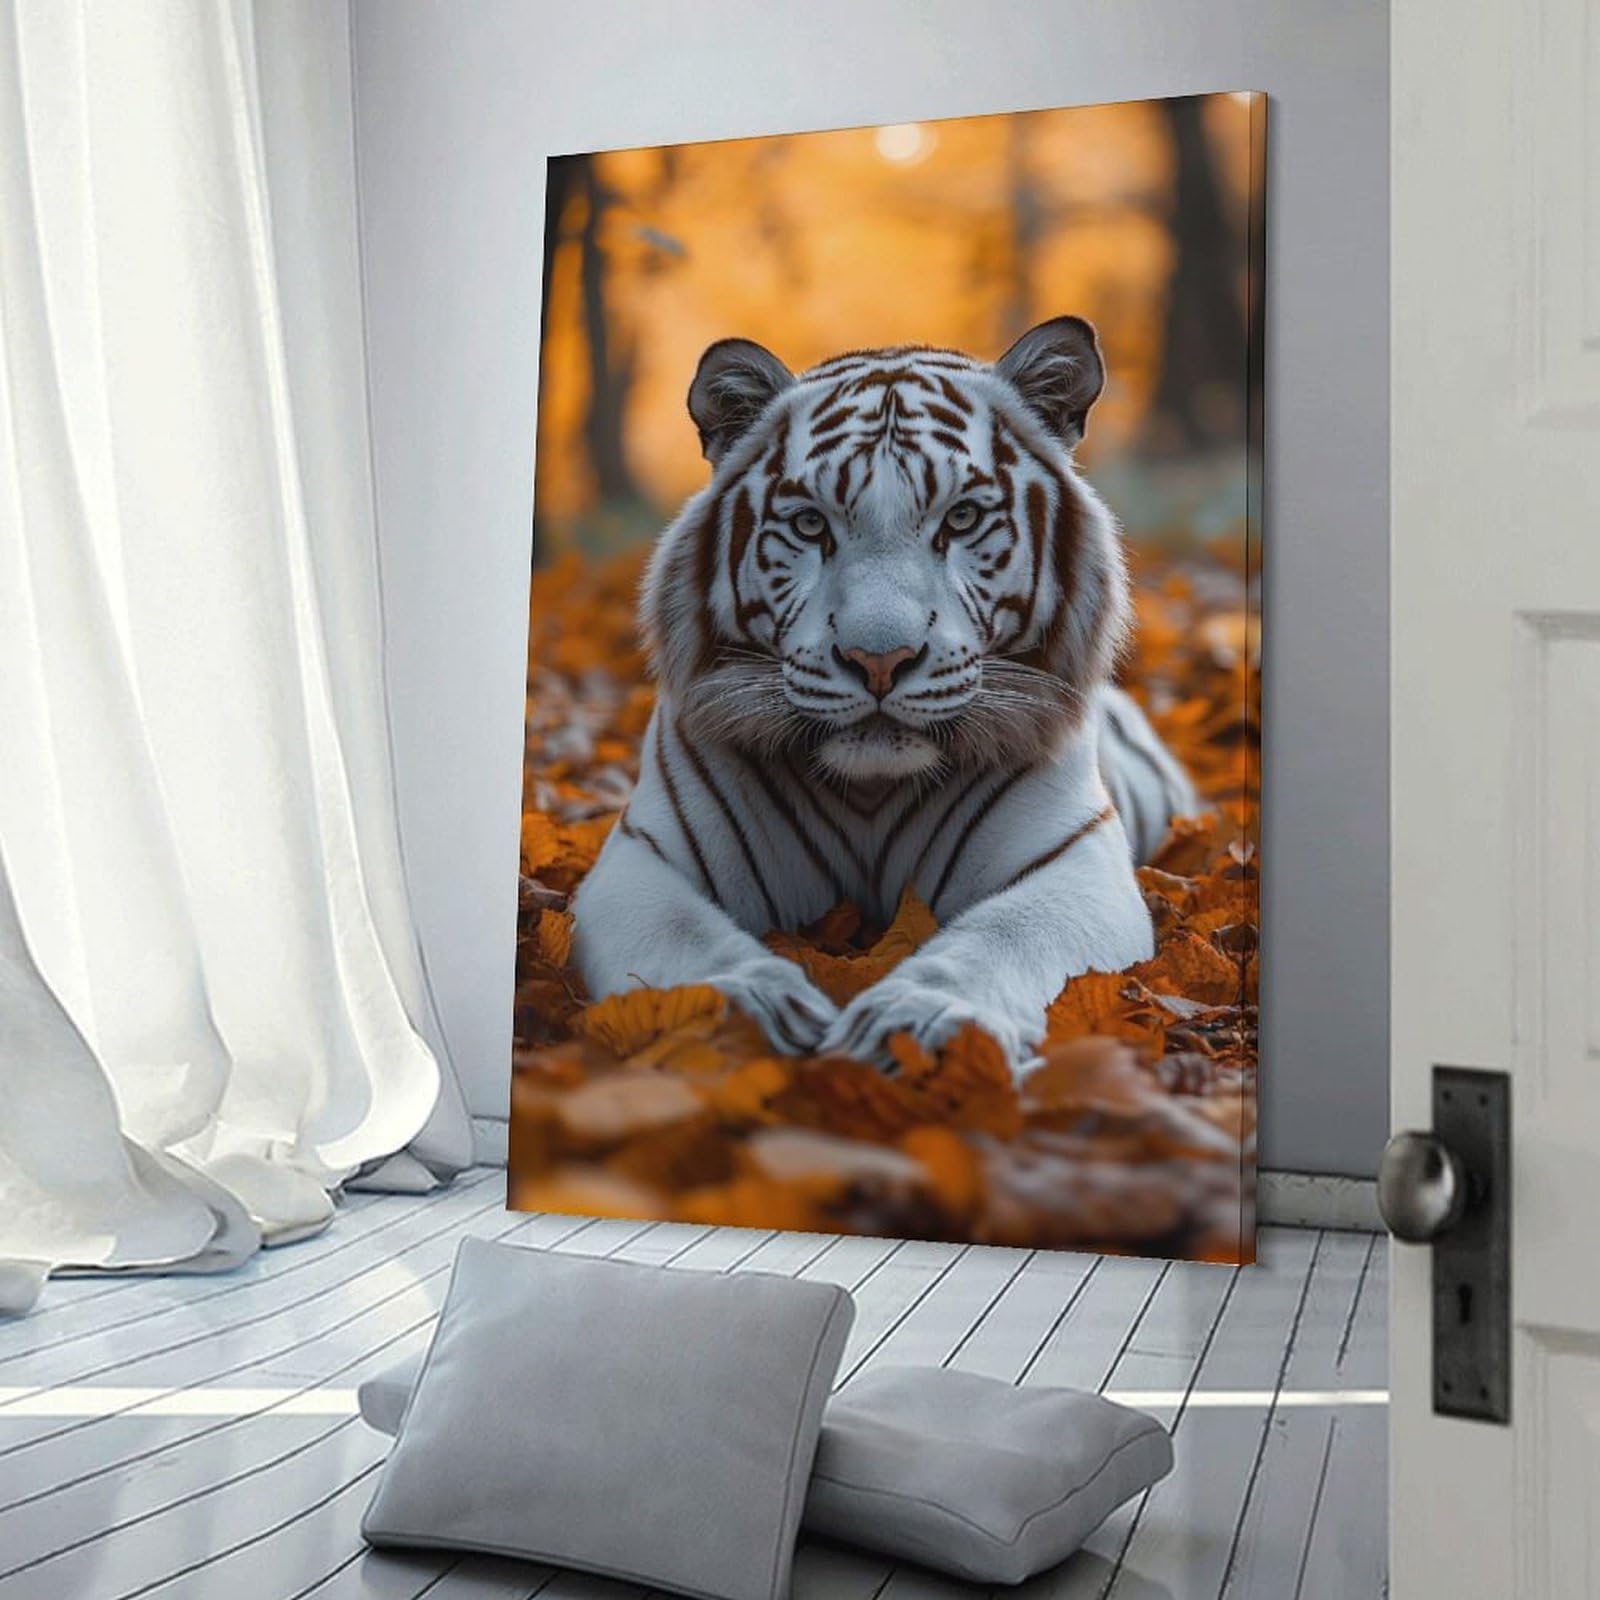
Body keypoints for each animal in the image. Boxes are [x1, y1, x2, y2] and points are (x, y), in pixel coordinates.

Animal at [570, 316, 1198, 1074]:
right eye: (811, 525)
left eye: (962, 519)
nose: (878, 660)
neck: (870, 796)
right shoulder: (642, 859)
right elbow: (684, 942)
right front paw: (752, 1012)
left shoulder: (1074, 862)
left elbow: (1002, 939)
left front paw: (918, 1023)